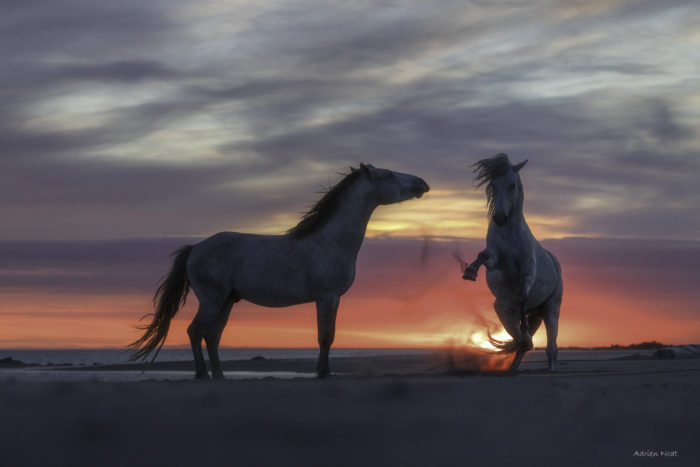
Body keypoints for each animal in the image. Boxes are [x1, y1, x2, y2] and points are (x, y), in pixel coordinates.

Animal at [129, 163, 430, 379]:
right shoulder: (326, 297)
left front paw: (325, 371)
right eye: (387, 174)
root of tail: (195, 248)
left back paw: (220, 376)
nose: (422, 183)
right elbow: (324, 336)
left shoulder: (334, 300)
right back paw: (202, 375)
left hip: (227, 301)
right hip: (212, 300)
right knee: (195, 331)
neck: (330, 240)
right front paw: (322, 373)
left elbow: (330, 336)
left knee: (212, 336)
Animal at [462, 154, 562, 371]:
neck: (509, 233)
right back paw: (514, 365)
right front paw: (470, 271)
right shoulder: (495, 261)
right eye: (493, 185)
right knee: (517, 339)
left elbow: (522, 297)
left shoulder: (528, 272)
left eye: (512, 185)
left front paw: (526, 333)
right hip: (502, 309)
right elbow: (483, 256)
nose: (500, 218)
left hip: (551, 308)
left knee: (551, 345)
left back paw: (548, 367)